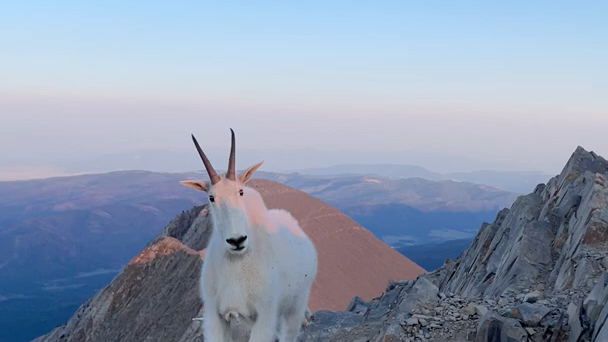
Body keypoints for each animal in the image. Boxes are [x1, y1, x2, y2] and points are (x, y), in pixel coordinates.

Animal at [179, 129, 318, 342]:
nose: (237, 240)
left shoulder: (265, 314)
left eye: (241, 191)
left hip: (295, 305)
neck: (237, 262)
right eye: (211, 197)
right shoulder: (216, 316)